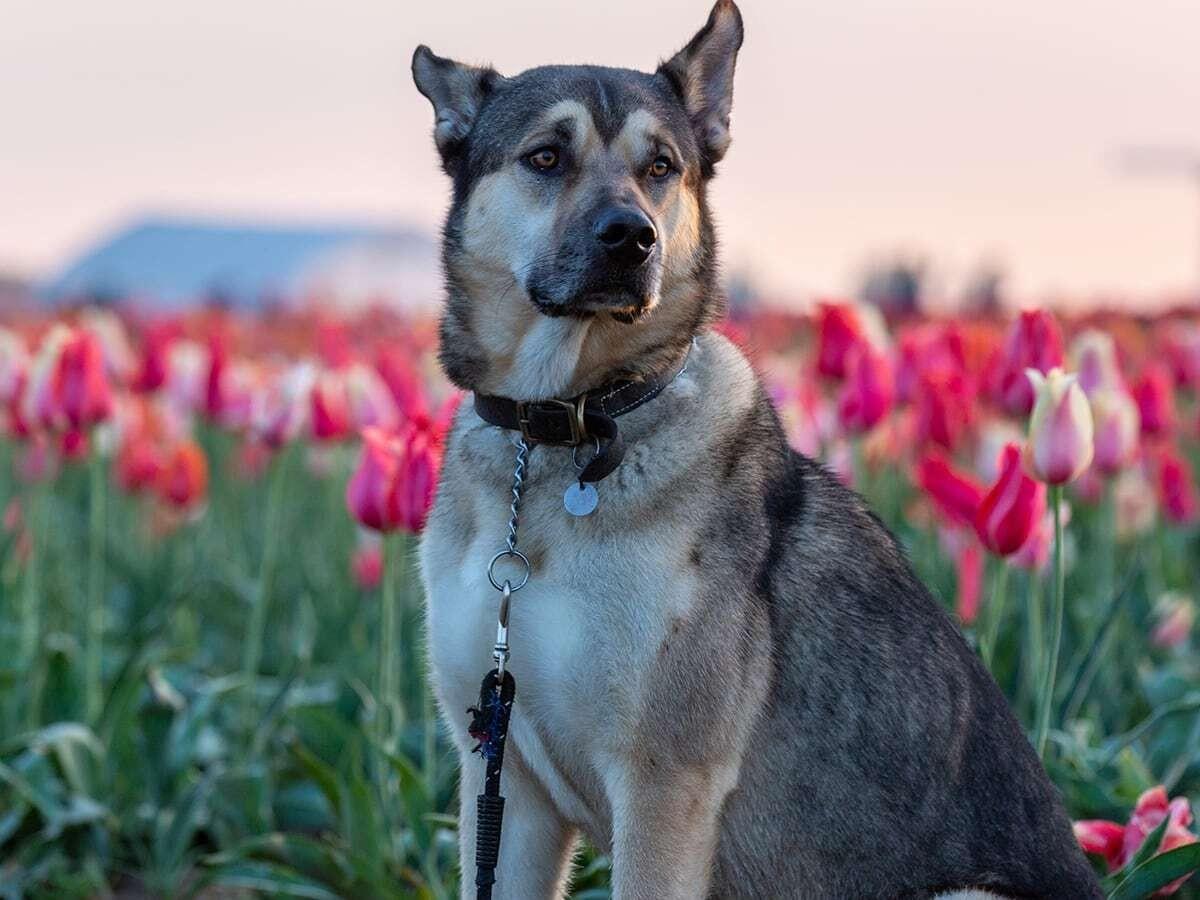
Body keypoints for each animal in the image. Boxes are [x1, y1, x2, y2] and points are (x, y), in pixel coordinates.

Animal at [415, 3, 1104, 897]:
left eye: (662, 166)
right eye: (545, 157)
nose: (630, 238)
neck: (561, 427)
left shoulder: (663, 783)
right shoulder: (502, 776)